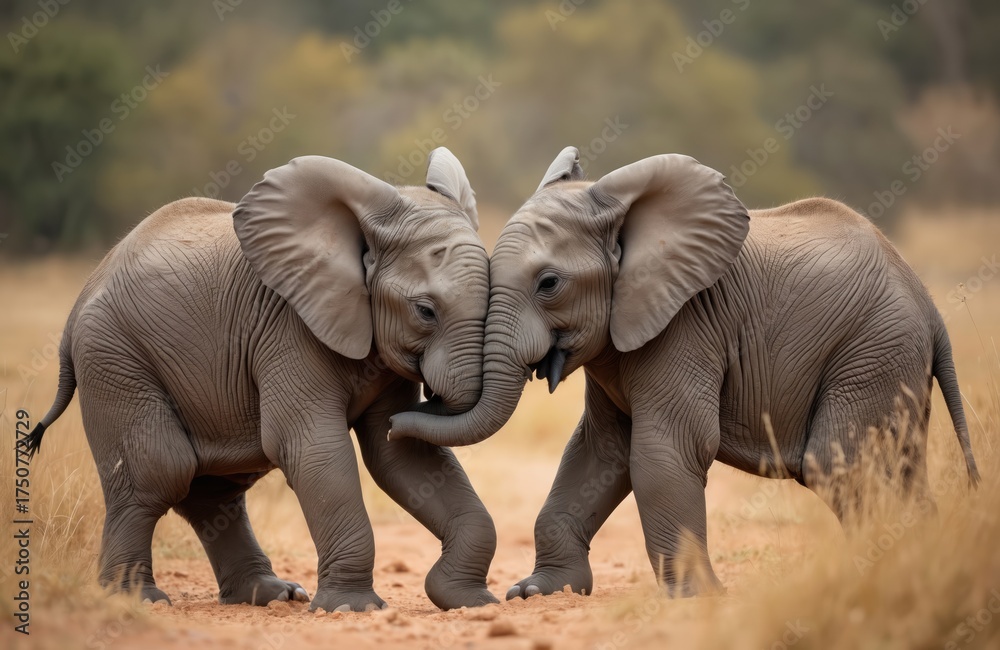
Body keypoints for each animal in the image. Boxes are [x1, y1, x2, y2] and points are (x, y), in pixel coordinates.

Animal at [24, 148, 499, 612]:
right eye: (425, 311)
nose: (421, 405)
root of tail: (80, 299)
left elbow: (400, 459)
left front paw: (469, 602)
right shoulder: (289, 329)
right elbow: (314, 448)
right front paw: (353, 609)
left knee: (216, 490)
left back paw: (272, 596)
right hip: (112, 354)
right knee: (161, 472)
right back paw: (138, 600)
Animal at [388, 146, 981, 599]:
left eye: (549, 283)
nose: (396, 421)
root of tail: (930, 309)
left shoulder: (686, 325)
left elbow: (664, 450)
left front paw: (697, 599)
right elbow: (599, 450)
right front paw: (538, 592)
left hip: (874, 346)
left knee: (840, 462)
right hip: (889, 359)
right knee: (897, 469)